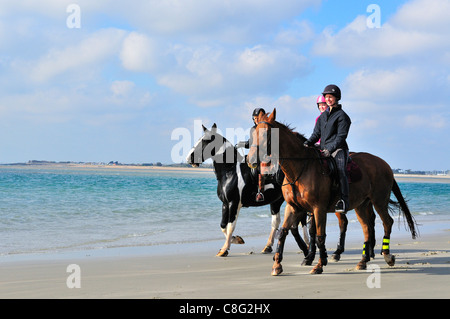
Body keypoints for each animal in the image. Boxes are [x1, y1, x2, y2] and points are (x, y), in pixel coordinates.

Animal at [186, 124, 310, 258]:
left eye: (205, 141)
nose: (189, 158)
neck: (230, 172)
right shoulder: (225, 204)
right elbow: (223, 226)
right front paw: (236, 239)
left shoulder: (234, 203)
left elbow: (230, 226)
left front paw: (224, 249)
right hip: (276, 201)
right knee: (276, 222)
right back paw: (268, 247)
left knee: (302, 221)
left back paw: (307, 245)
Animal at [248, 109, 416, 276]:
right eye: (253, 133)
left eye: (265, 134)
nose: (251, 160)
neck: (301, 168)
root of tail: (384, 164)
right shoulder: (293, 207)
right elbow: (284, 232)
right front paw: (277, 265)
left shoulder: (318, 208)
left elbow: (319, 236)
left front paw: (319, 264)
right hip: (361, 205)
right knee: (367, 228)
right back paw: (363, 261)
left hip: (379, 201)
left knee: (387, 222)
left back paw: (386, 255)